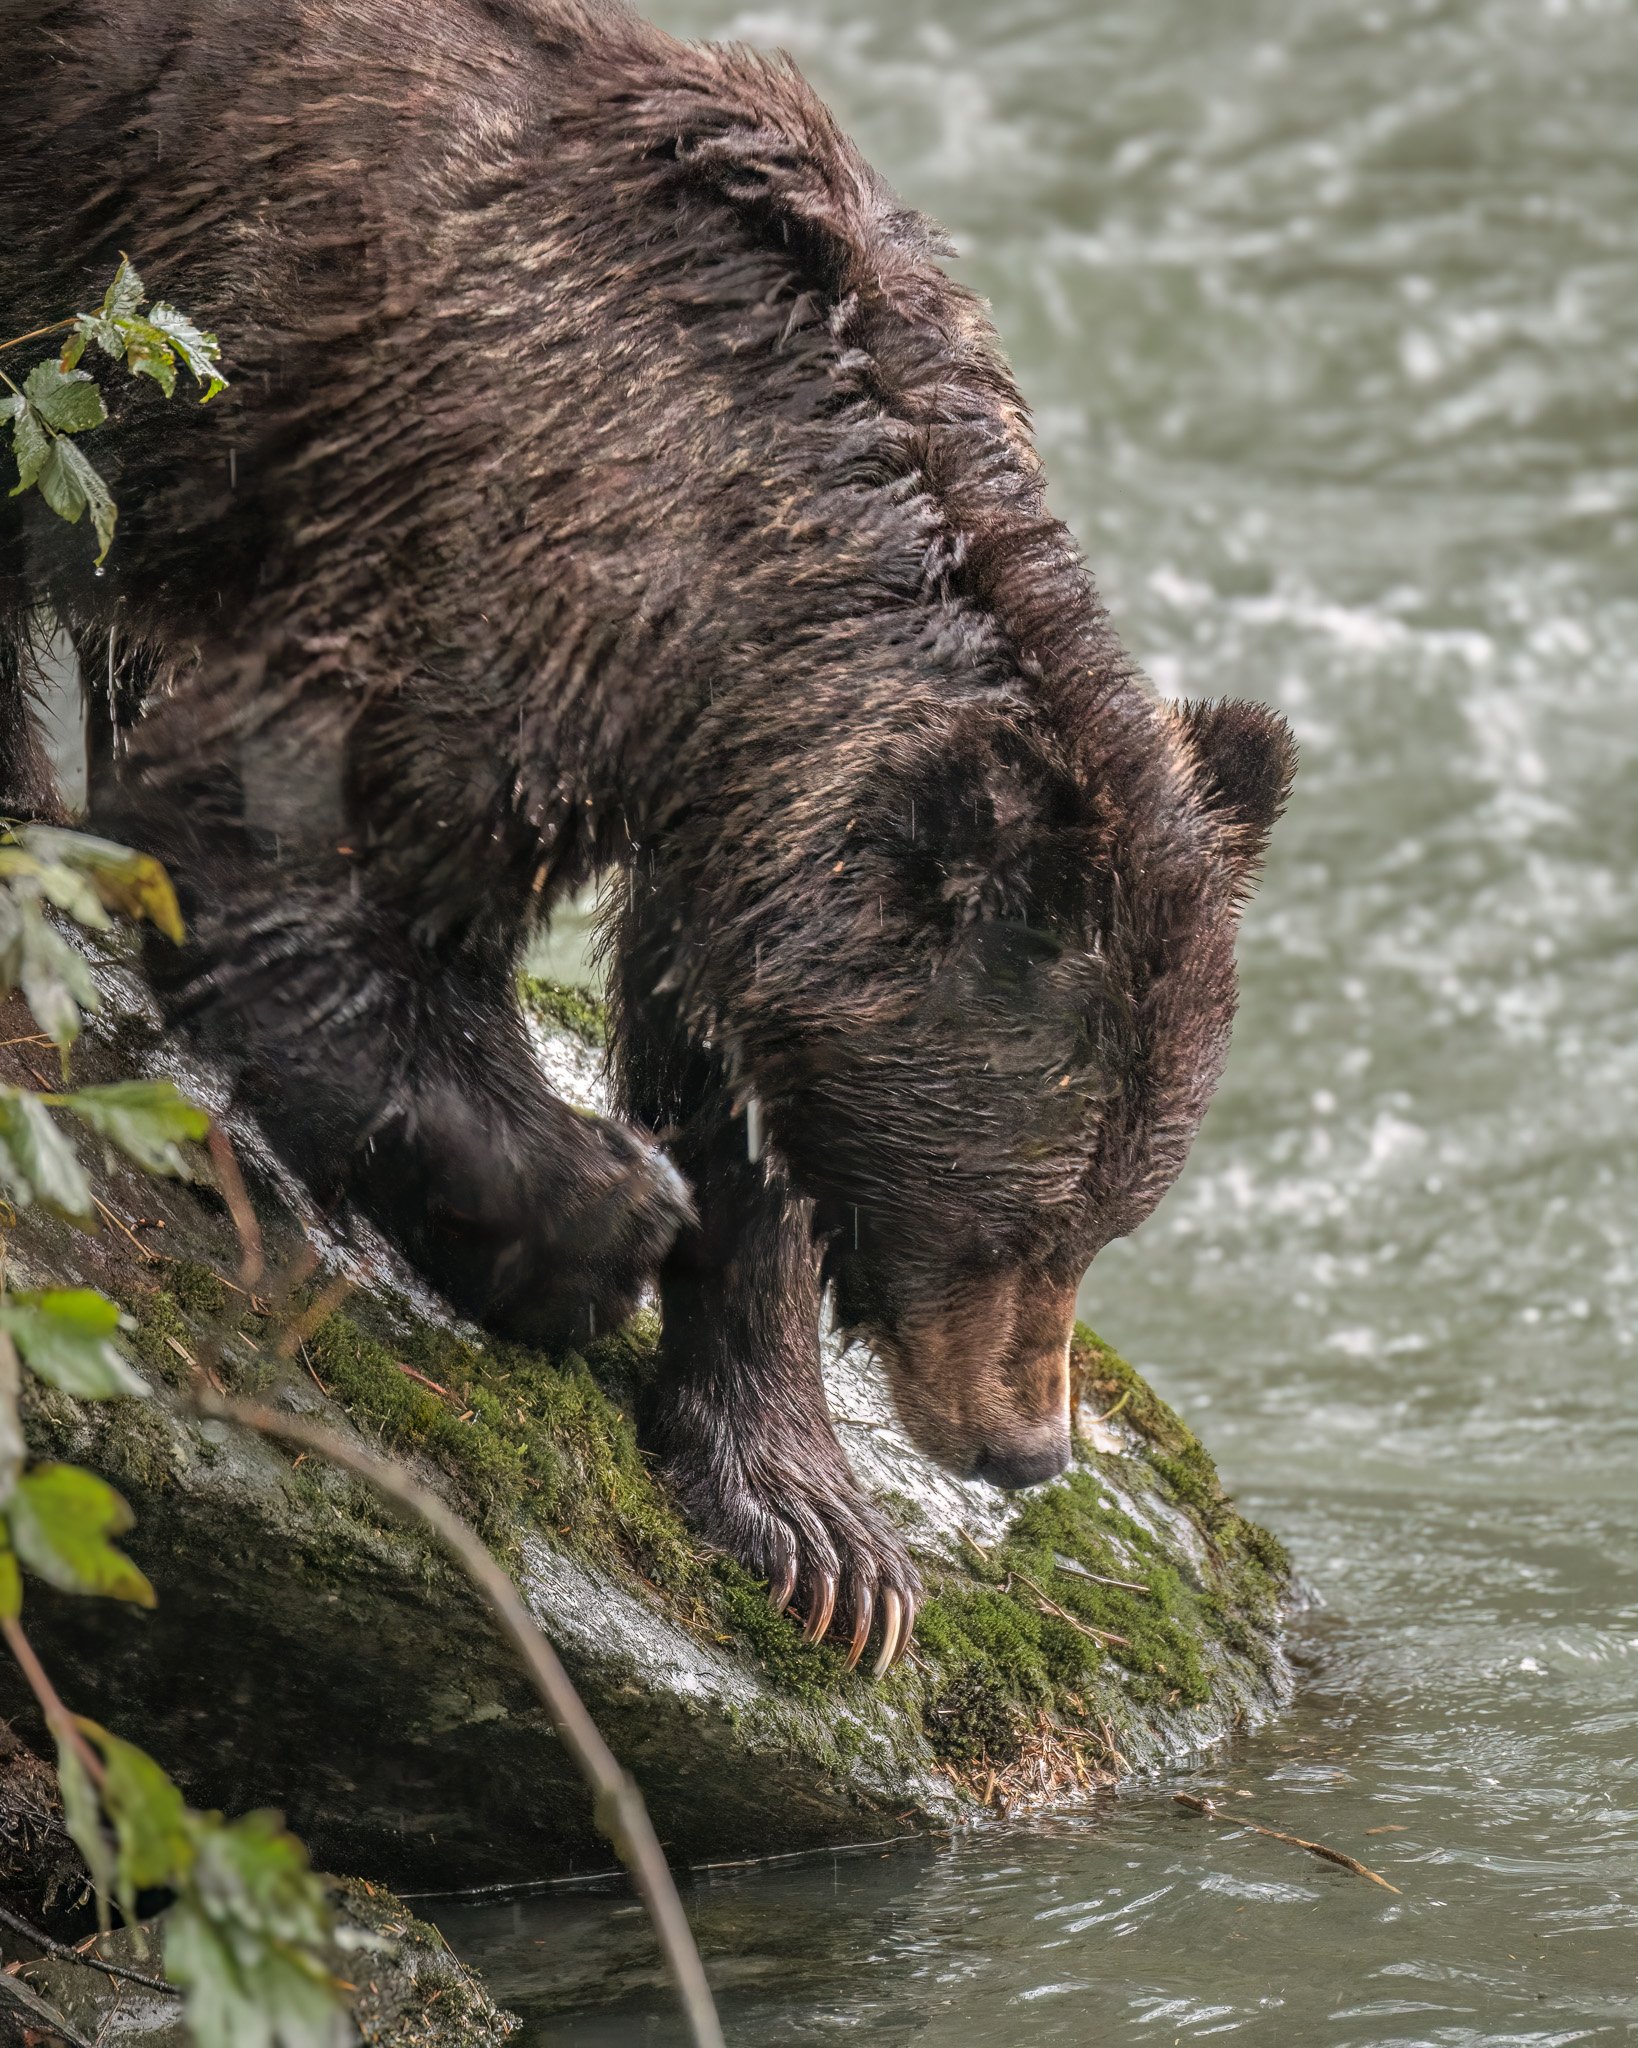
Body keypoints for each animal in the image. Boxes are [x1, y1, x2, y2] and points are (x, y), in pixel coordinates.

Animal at [0, 0, 1294, 1674]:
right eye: (1016, 1217)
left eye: (1114, 1221)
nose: (1023, 1447)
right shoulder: (469, 565)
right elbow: (259, 855)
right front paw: (589, 1227)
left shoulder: (733, 808)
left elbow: (736, 1081)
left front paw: (820, 1534)